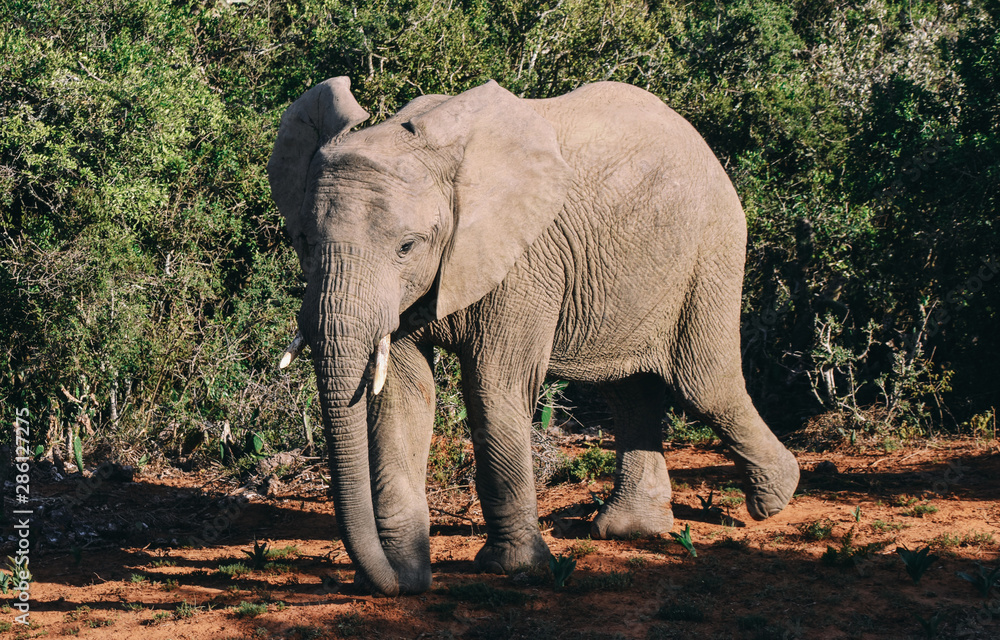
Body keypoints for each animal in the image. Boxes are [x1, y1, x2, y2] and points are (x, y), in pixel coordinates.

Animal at [270, 76, 800, 596]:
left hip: (711, 246)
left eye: (407, 246)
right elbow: (402, 396)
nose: (391, 584)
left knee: (703, 384)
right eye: (302, 241)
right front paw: (405, 575)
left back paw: (775, 499)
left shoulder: (524, 263)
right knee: (628, 390)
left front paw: (515, 570)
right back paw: (630, 529)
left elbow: (492, 387)